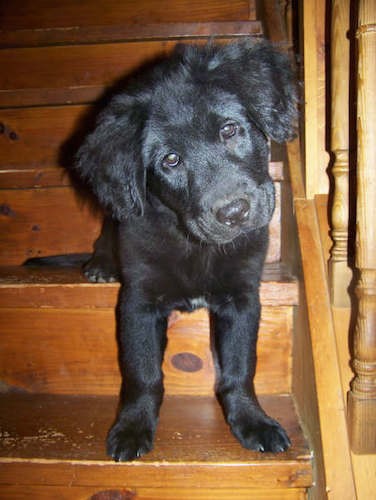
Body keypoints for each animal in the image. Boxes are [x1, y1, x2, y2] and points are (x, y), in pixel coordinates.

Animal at [73, 39, 296, 460]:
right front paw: (133, 427)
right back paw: (100, 263)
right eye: (171, 160)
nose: (235, 213)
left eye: (230, 130)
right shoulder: (138, 303)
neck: (197, 247)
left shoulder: (243, 298)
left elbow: (240, 367)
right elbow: (143, 373)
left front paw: (252, 421)